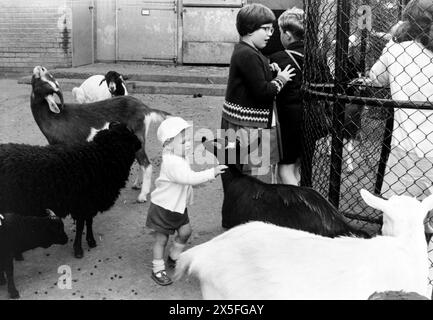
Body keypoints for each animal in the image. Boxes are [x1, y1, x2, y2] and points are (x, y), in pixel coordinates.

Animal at [0, 121, 140, 258]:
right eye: (130, 134)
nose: (140, 143)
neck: (100, 157)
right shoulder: (81, 205)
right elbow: (80, 226)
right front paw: (78, 249)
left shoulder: (89, 203)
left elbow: (89, 222)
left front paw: (91, 241)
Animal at [30, 66, 168, 202]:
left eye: (49, 81)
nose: (40, 68)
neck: (53, 116)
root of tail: (145, 108)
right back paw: (137, 185)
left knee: (146, 165)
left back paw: (143, 195)